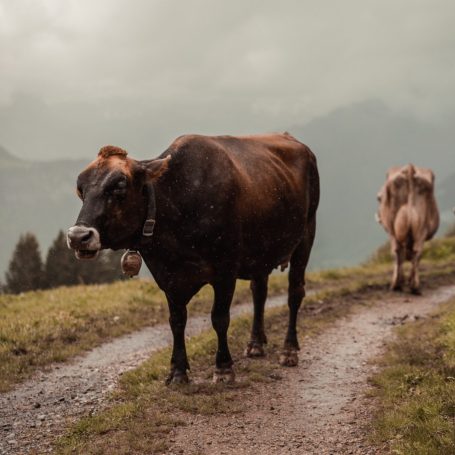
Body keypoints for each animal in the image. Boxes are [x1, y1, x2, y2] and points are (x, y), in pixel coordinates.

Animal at [67, 133, 320, 384]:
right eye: (81, 190)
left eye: (120, 186)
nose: (78, 236)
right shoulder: (167, 276)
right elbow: (177, 321)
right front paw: (178, 371)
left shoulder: (226, 269)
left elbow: (220, 318)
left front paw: (224, 368)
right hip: (262, 253)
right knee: (259, 293)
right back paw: (256, 344)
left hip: (306, 235)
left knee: (295, 293)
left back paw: (289, 350)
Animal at [376, 164, 440, 296]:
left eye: (379, 199)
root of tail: (410, 168)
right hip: (421, 229)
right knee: (415, 253)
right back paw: (413, 286)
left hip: (392, 229)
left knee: (397, 252)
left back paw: (398, 285)